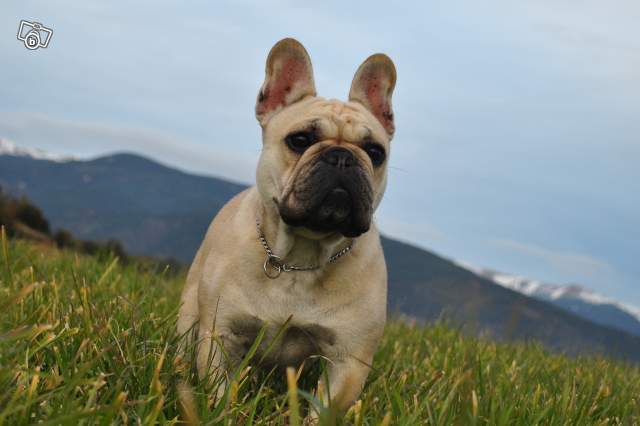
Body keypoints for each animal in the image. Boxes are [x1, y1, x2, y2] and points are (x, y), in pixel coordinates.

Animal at [176, 37, 396, 416]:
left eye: (375, 151)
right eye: (300, 140)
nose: (342, 157)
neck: (299, 258)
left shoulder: (348, 360)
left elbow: (325, 411)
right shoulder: (222, 335)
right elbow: (219, 391)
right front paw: (220, 414)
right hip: (190, 309)